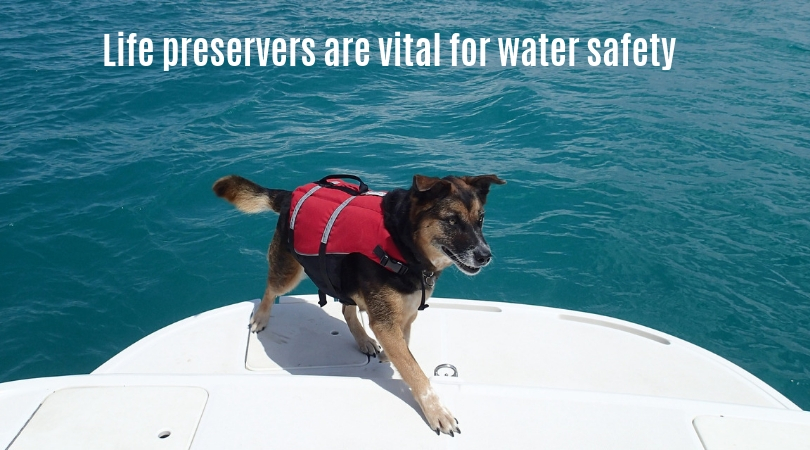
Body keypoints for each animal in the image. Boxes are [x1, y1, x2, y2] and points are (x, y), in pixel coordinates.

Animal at [215, 171, 504, 432]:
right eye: (452, 220)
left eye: (480, 219)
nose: (485, 256)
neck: (402, 243)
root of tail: (290, 195)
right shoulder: (386, 320)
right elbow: (414, 370)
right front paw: (437, 412)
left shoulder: (406, 314)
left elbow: (405, 346)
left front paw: (390, 355)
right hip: (288, 271)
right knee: (270, 289)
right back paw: (260, 318)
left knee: (346, 307)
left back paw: (363, 339)